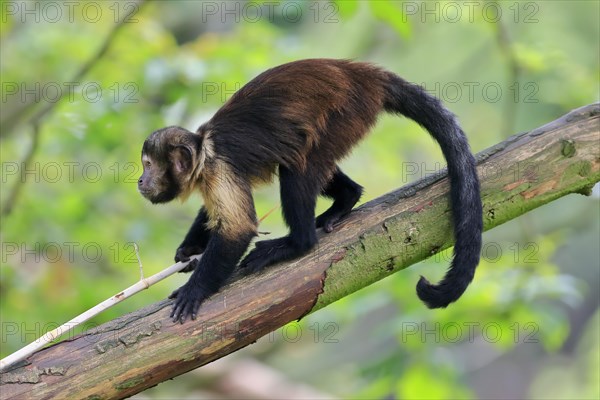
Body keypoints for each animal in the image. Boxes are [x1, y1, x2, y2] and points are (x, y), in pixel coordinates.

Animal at [139, 58, 482, 322]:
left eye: (148, 165)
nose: (140, 180)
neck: (203, 151)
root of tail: (361, 72)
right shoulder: (211, 176)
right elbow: (215, 215)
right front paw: (189, 251)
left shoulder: (218, 168)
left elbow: (238, 228)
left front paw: (194, 290)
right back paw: (347, 198)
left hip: (348, 111)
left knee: (298, 167)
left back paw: (297, 244)